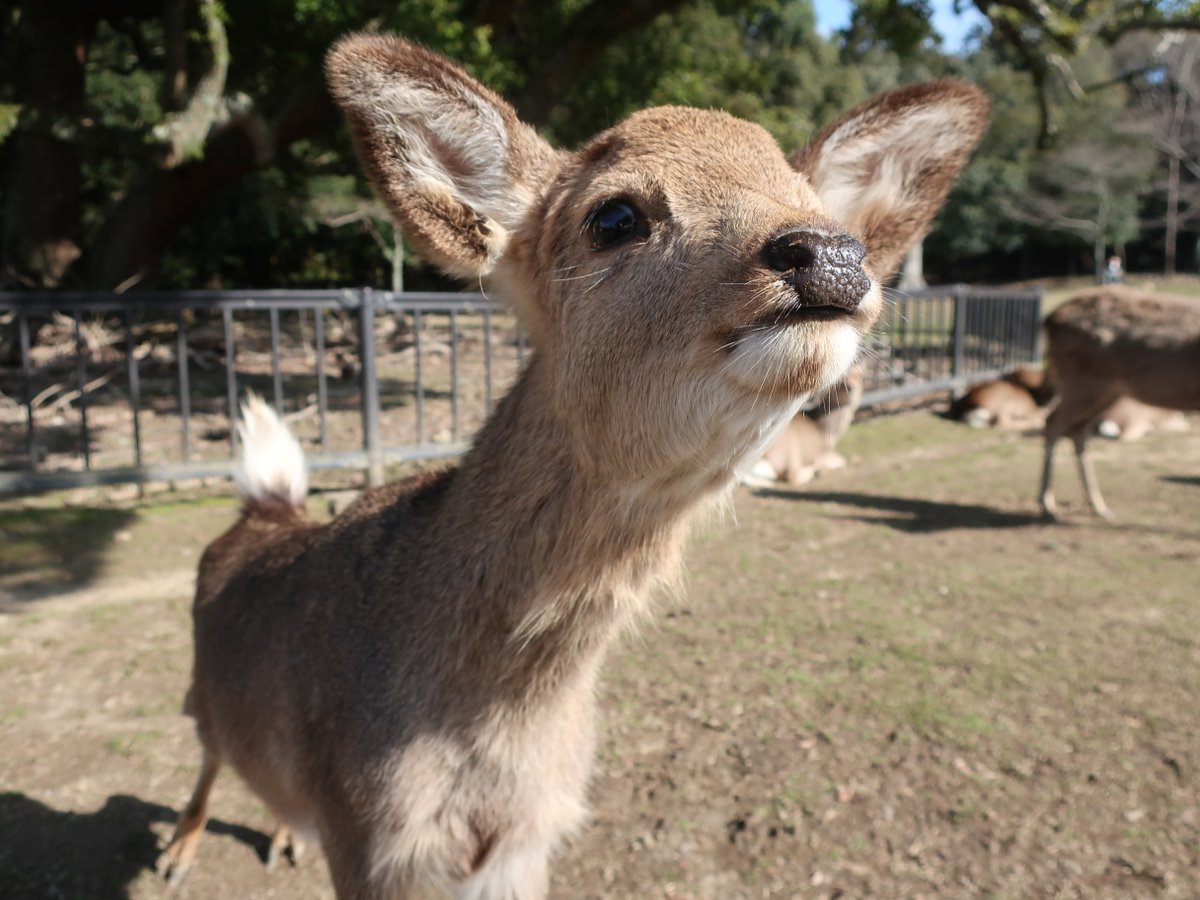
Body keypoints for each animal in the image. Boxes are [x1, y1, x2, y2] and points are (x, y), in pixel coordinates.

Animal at [155, 33, 987, 899]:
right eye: (613, 216)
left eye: (810, 199)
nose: (829, 253)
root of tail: (265, 506)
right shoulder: (369, 838)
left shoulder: (526, 842)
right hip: (201, 697)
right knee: (206, 749)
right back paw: (174, 853)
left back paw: (283, 836)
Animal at [1040, 285, 1200, 519]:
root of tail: (1049, 319)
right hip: (1083, 382)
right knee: (1053, 422)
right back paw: (1047, 504)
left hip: (1103, 391)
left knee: (1076, 429)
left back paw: (1098, 505)